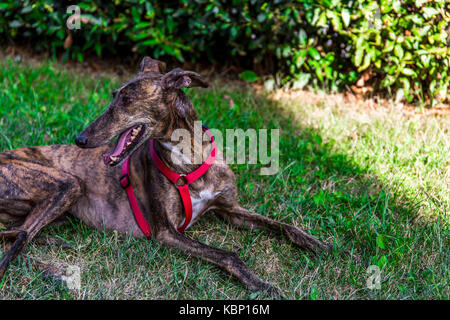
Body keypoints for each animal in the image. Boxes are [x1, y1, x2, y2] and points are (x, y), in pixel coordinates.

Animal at [0, 57, 330, 296]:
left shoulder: (230, 209)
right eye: (114, 96)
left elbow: (283, 225)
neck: (189, 158)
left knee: (20, 234)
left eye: (127, 100)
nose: (80, 140)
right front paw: (260, 284)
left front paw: (317, 244)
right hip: (67, 184)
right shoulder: (166, 232)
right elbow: (228, 255)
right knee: (15, 242)